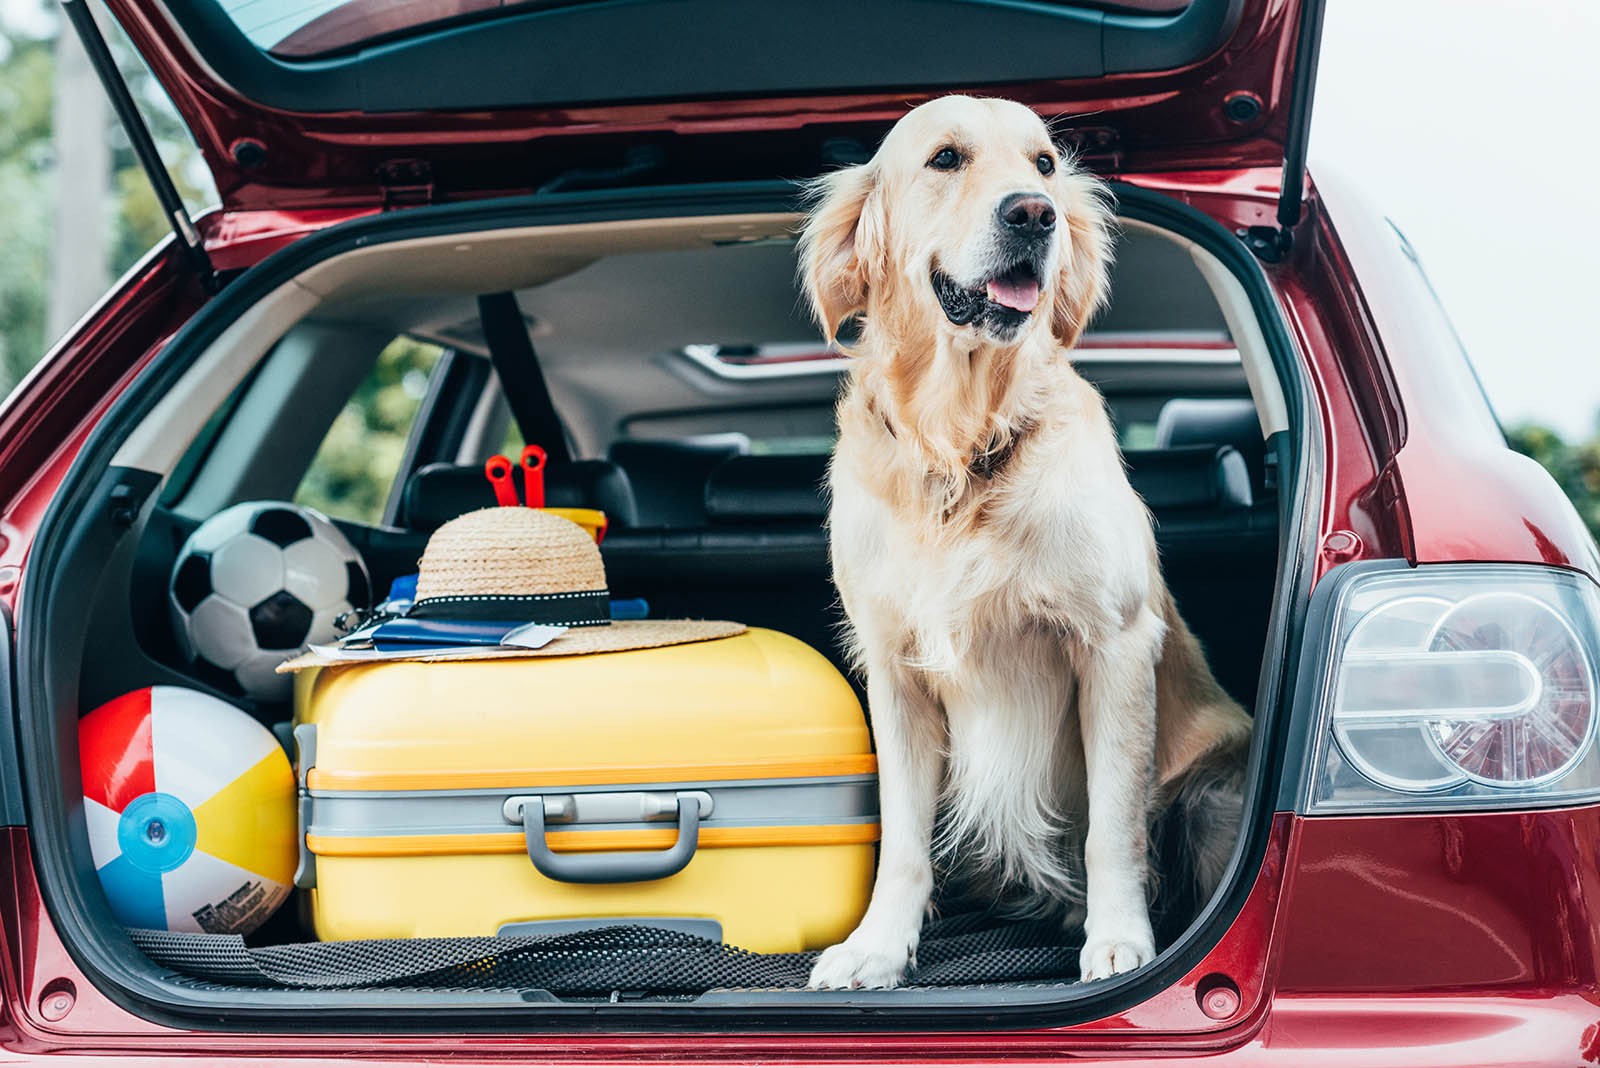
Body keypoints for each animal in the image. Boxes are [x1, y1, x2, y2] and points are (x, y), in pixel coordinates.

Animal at [806, 95, 1254, 991]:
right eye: (946, 158)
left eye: (1044, 163)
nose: (1034, 214)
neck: (961, 446)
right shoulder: (895, 669)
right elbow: (902, 838)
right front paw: (877, 946)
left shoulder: (1112, 645)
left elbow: (1113, 824)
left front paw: (1119, 941)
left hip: (1215, 787)